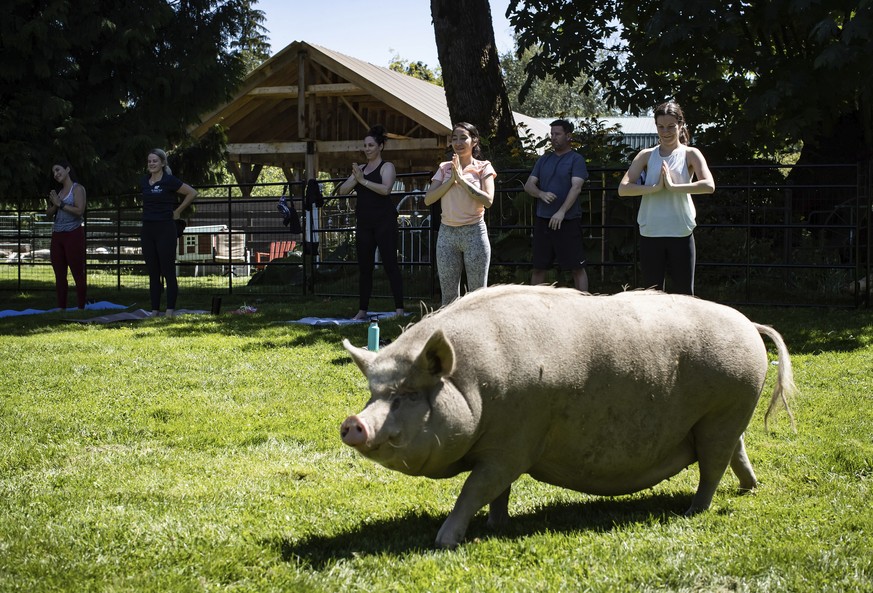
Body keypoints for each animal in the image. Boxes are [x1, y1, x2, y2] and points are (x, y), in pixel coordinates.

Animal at [338, 284, 792, 548]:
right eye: (374, 393)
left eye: (409, 394)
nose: (352, 423)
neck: (476, 385)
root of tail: (750, 324)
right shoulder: (502, 450)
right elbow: (496, 492)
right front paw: (498, 526)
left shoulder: (514, 445)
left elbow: (474, 489)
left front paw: (443, 541)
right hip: (726, 418)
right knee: (737, 452)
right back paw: (750, 489)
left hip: (723, 412)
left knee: (712, 468)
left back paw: (693, 511)